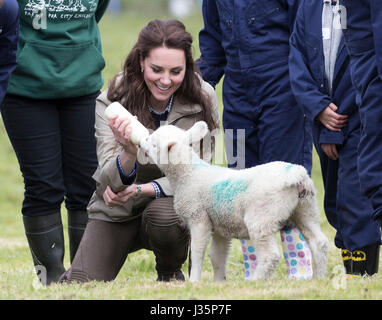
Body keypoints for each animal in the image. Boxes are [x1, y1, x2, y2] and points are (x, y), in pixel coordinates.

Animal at [139, 121, 330, 282]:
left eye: (153, 143)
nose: (141, 142)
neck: (188, 174)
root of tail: (295, 173)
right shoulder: (219, 226)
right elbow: (217, 256)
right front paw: (219, 282)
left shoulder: (199, 218)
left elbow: (198, 252)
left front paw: (194, 281)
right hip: (306, 208)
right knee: (319, 242)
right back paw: (319, 278)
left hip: (262, 217)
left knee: (271, 255)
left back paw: (255, 280)